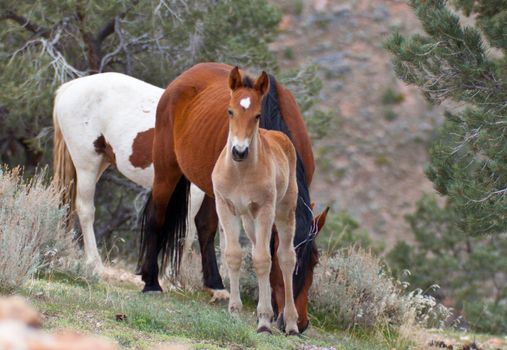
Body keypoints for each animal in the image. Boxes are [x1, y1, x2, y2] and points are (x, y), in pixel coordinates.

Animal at [212, 67, 300, 334]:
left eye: (258, 115)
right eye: (230, 111)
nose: (239, 152)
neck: (240, 173)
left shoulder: (264, 209)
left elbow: (263, 260)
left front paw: (264, 320)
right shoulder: (225, 207)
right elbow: (234, 255)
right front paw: (234, 311)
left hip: (284, 212)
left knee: (285, 257)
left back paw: (291, 323)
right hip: (249, 221)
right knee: (258, 249)